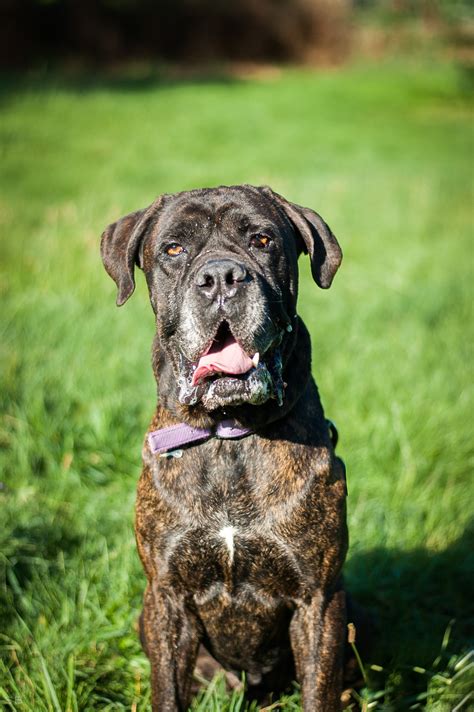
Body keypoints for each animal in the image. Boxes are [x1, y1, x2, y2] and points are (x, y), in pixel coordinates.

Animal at [101, 186, 348, 708]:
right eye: (173, 249)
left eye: (262, 240)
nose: (221, 277)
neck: (229, 435)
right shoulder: (166, 599)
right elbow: (167, 689)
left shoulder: (319, 600)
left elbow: (320, 689)